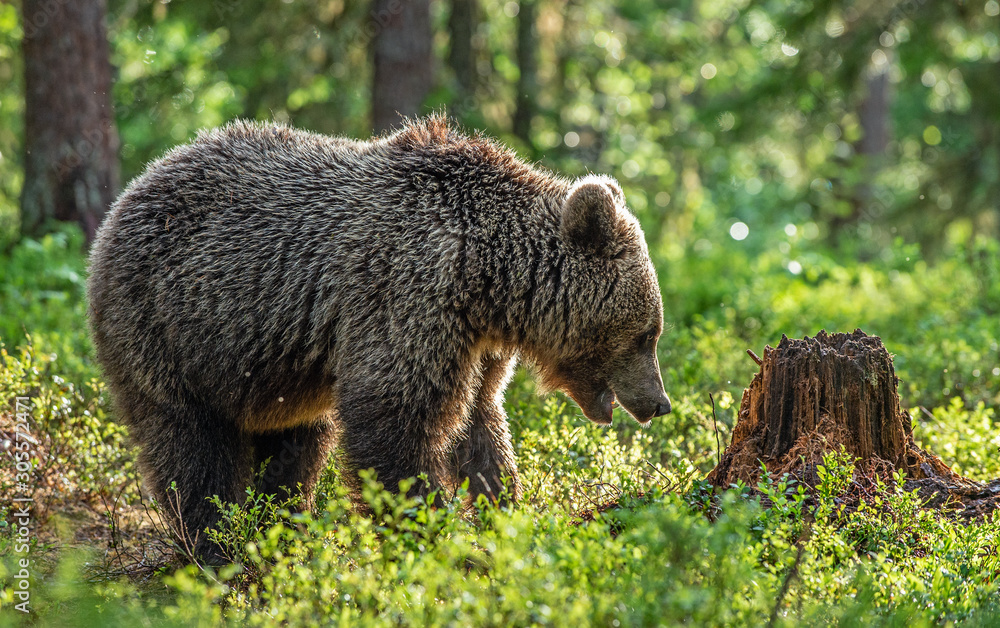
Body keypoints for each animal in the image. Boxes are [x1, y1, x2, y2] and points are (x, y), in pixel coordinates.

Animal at [87, 115, 671, 559]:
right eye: (648, 334)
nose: (660, 403)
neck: (486, 279)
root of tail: (127, 196)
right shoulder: (406, 297)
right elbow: (395, 422)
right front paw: (433, 538)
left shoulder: (473, 347)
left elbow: (481, 426)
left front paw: (507, 518)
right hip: (167, 330)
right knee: (191, 447)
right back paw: (218, 546)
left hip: (271, 371)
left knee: (294, 448)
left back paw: (279, 530)